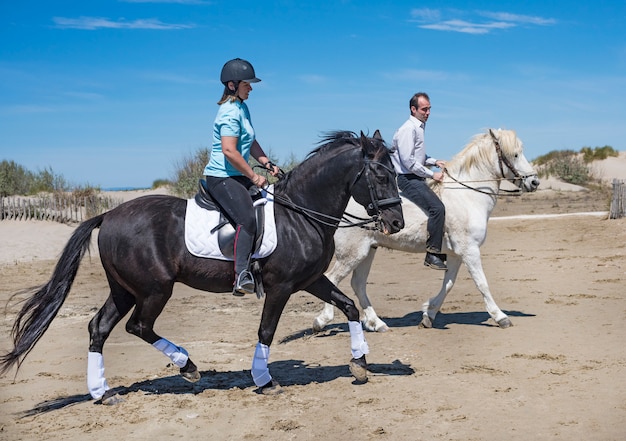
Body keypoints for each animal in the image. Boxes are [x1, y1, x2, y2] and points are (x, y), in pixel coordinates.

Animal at [0, 129, 402, 400]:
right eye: (381, 175)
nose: (396, 223)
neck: (301, 213)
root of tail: (108, 215)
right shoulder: (282, 287)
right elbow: (266, 331)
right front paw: (264, 380)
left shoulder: (311, 280)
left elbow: (349, 306)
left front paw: (360, 364)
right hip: (154, 289)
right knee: (138, 326)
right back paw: (187, 367)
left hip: (124, 289)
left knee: (99, 328)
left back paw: (103, 392)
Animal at [314, 129, 540, 332]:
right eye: (515, 154)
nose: (535, 182)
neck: (468, 196)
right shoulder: (470, 251)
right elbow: (482, 283)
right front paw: (501, 317)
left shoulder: (457, 254)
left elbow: (449, 284)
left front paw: (428, 314)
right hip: (353, 252)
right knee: (333, 279)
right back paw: (322, 320)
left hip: (368, 250)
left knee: (358, 284)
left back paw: (376, 323)